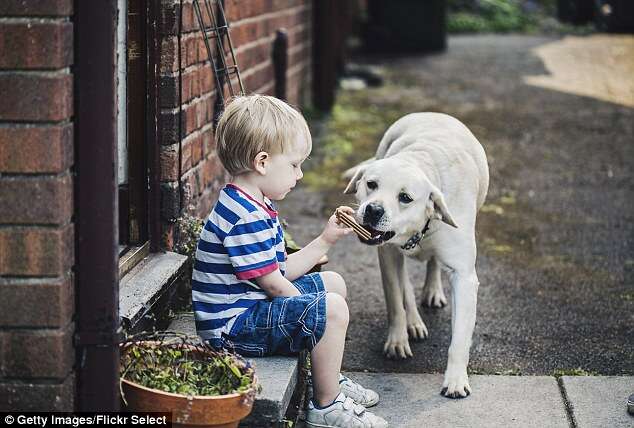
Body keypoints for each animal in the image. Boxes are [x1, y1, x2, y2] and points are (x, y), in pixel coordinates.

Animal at [344, 111, 486, 398]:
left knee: (433, 264)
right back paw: (413, 321)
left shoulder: (464, 277)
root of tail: (433, 113)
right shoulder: (387, 256)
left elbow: (460, 337)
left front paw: (456, 379)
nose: (373, 210)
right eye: (371, 184)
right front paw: (397, 340)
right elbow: (395, 301)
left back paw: (432, 291)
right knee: (405, 285)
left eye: (405, 197)